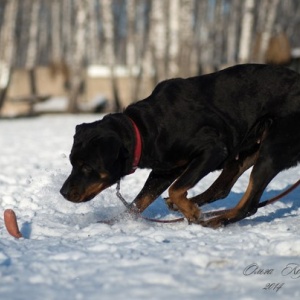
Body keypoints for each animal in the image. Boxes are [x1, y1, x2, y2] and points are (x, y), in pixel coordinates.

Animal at [59, 63, 300, 227]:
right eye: (72, 163)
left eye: (87, 166)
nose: (63, 192)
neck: (145, 129)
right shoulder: (165, 169)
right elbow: (140, 201)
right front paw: (114, 221)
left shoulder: (212, 150)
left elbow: (176, 188)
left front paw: (192, 213)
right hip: (249, 146)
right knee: (222, 187)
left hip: (272, 148)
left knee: (249, 204)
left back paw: (216, 219)